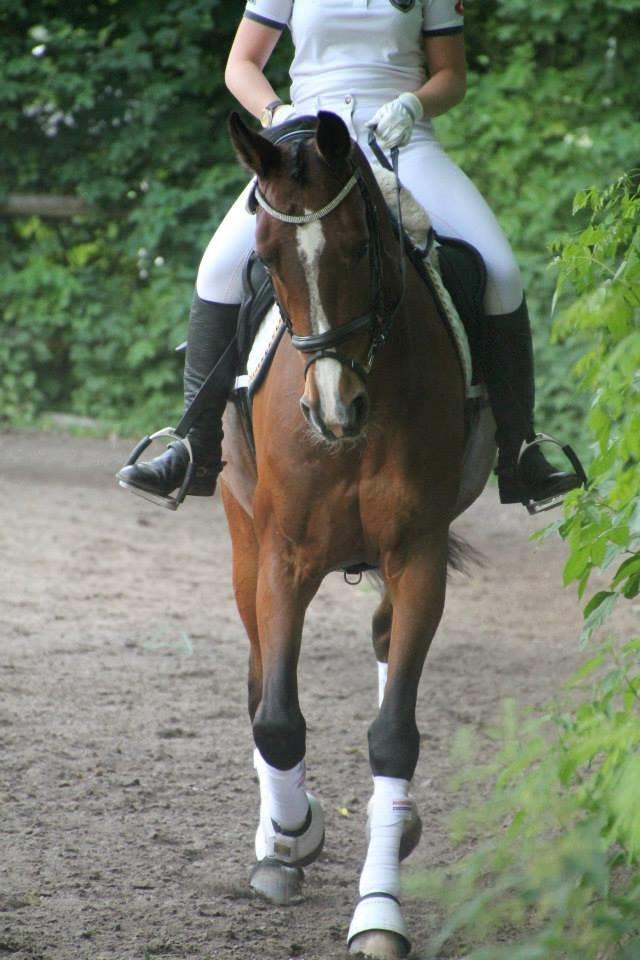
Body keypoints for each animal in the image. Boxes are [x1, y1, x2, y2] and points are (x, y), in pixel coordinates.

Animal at [220, 112, 496, 960]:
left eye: (358, 248)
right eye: (267, 259)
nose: (334, 410)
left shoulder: (418, 557)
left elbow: (393, 737)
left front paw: (378, 910)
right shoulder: (282, 557)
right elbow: (278, 721)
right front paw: (294, 835)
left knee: (379, 640)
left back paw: (391, 823)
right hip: (243, 540)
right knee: (258, 679)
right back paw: (275, 845)